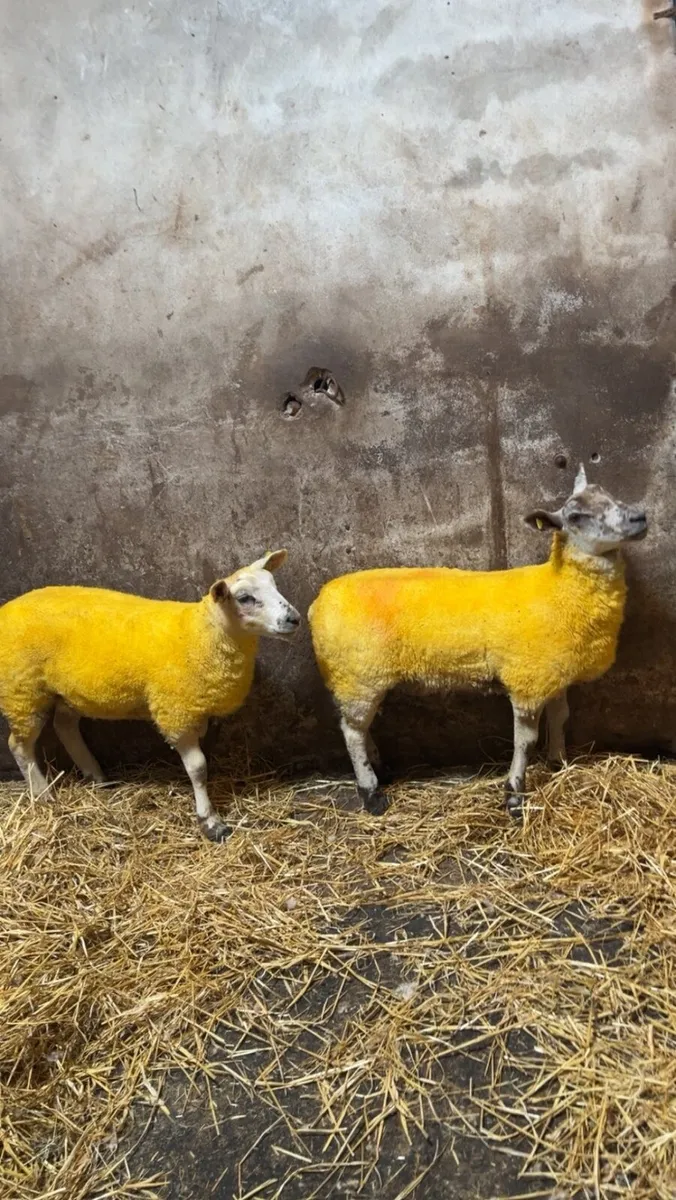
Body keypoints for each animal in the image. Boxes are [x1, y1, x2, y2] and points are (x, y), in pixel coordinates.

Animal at [0, 549, 300, 841]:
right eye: (245, 598)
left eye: (274, 585)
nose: (294, 619)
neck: (202, 635)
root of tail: (6, 609)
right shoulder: (175, 712)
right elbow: (198, 768)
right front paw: (210, 821)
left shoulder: (194, 711)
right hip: (22, 691)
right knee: (19, 746)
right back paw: (43, 794)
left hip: (67, 692)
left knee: (65, 727)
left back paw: (97, 776)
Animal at [308, 467, 647, 818]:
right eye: (576, 516)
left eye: (608, 495)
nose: (639, 517)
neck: (559, 590)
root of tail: (317, 602)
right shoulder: (527, 683)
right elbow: (525, 741)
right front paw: (514, 795)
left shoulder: (554, 675)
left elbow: (560, 718)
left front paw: (559, 763)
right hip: (359, 676)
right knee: (352, 732)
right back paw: (371, 792)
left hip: (361, 680)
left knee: (359, 728)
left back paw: (380, 768)